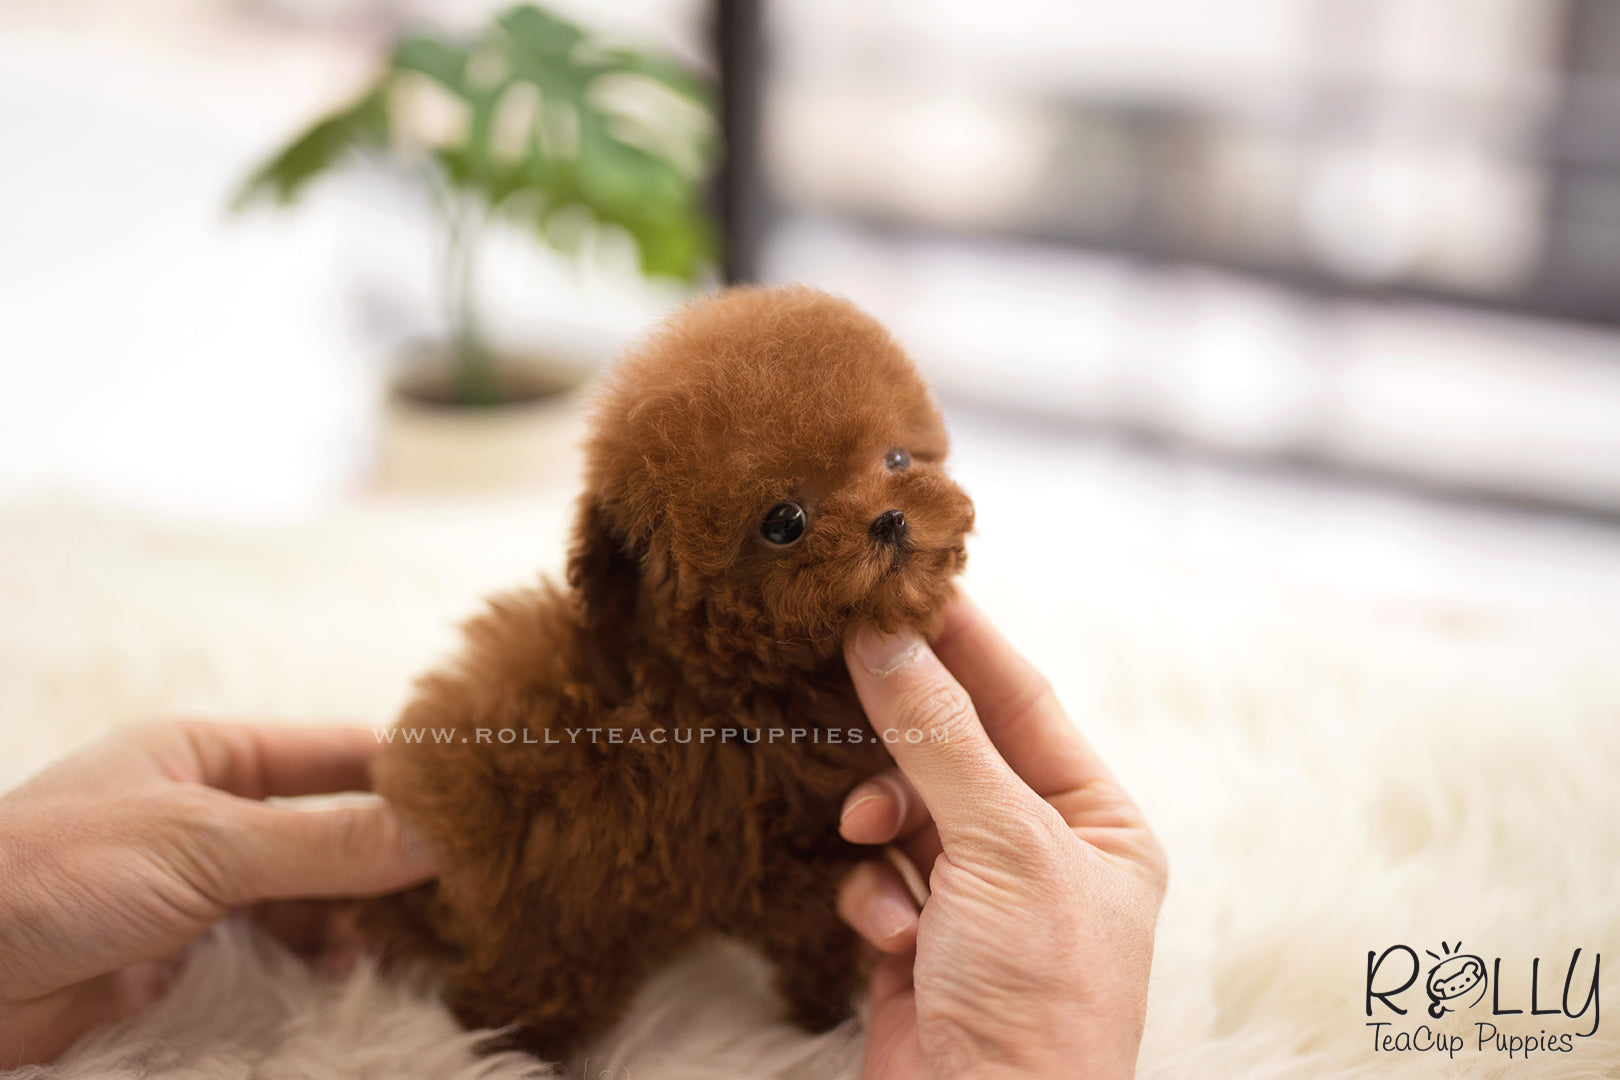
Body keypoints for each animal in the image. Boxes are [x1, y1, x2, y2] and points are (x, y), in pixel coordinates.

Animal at [364, 284, 972, 1062]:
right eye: (784, 521)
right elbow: (817, 933)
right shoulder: (775, 854)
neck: (724, 679)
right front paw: (831, 1014)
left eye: (897, 457)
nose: (891, 520)